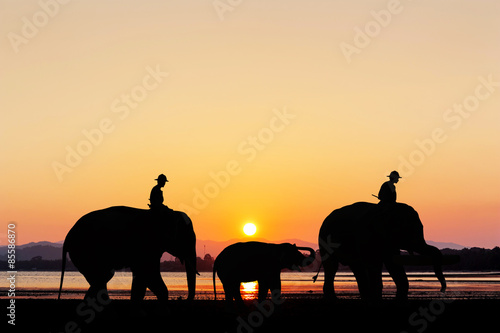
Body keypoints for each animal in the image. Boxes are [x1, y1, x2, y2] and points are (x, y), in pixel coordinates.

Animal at [58, 205, 197, 300]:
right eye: (185, 237)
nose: (183, 299)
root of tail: (68, 235)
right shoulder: (145, 244)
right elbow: (147, 274)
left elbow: (143, 276)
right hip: (85, 251)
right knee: (103, 276)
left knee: (100, 279)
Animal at [318, 202, 452, 300]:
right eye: (408, 230)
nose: (442, 290)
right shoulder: (366, 235)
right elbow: (374, 263)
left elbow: (393, 264)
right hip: (324, 241)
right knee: (332, 266)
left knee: (356, 267)